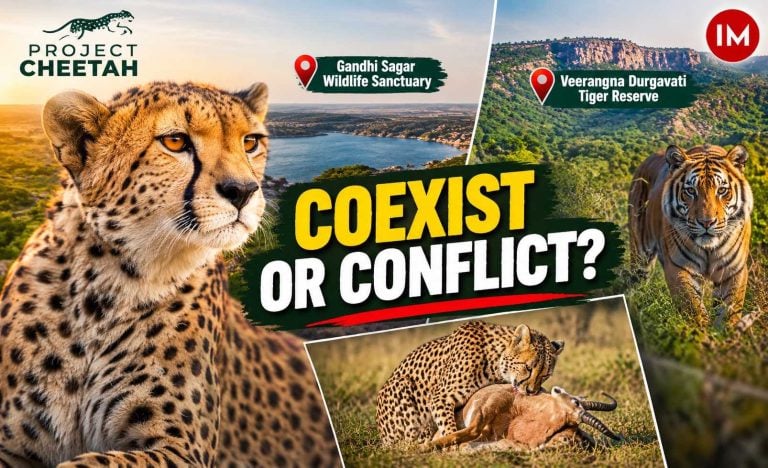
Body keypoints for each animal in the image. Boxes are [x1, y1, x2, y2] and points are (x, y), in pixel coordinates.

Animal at [0, 82, 340, 467]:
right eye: (176, 141)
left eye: (250, 142)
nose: (243, 191)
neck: (99, 292)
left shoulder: (179, 447)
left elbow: (95, 461)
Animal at [375, 320, 563, 446]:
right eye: (528, 368)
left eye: (545, 375)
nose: (532, 391)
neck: (494, 360)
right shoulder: (440, 397)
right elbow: (448, 427)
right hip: (403, 385)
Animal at [628, 144, 752, 328]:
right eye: (690, 191)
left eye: (722, 190)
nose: (707, 222)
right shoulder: (679, 268)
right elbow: (693, 309)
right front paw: (700, 334)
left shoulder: (733, 270)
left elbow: (729, 311)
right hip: (640, 257)